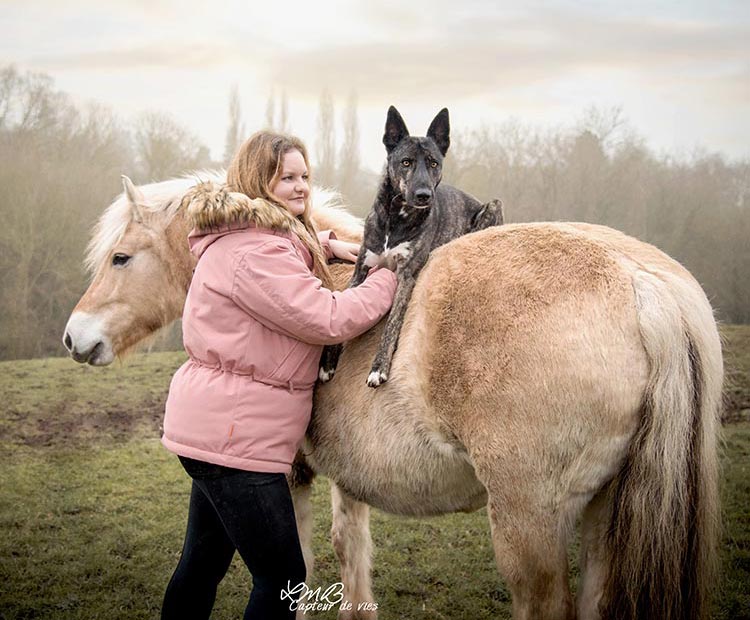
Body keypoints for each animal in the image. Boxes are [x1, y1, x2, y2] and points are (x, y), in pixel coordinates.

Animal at [63, 174, 724, 620]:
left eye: (121, 257)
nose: (75, 336)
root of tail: (642, 283)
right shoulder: (349, 480)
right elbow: (351, 561)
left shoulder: (290, 478)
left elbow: (301, 571)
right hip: (604, 514)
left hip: (529, 523)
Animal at [318, 106, 506, 388]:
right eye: (406, 162)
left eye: (433, 163)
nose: (424, 195)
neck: (396, 217)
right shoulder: (361, 270)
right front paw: (327, 363)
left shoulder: (405, 275)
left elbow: (392, 324)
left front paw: (378, 368)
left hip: (494, 205)